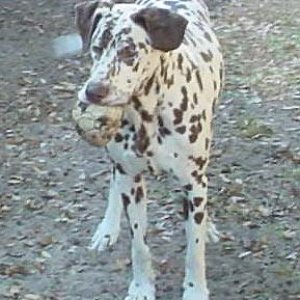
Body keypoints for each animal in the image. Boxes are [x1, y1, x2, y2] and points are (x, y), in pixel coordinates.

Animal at [76, 0, 224, 298]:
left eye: (129, 52)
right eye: (97, 47)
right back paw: (107, 227)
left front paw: (195, 289)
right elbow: (139, 246)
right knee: (114, 180)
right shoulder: (131, 181)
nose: (94, 91)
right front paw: (141, 287)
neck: (148, 115)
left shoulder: (193, 182)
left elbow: (194, 249)